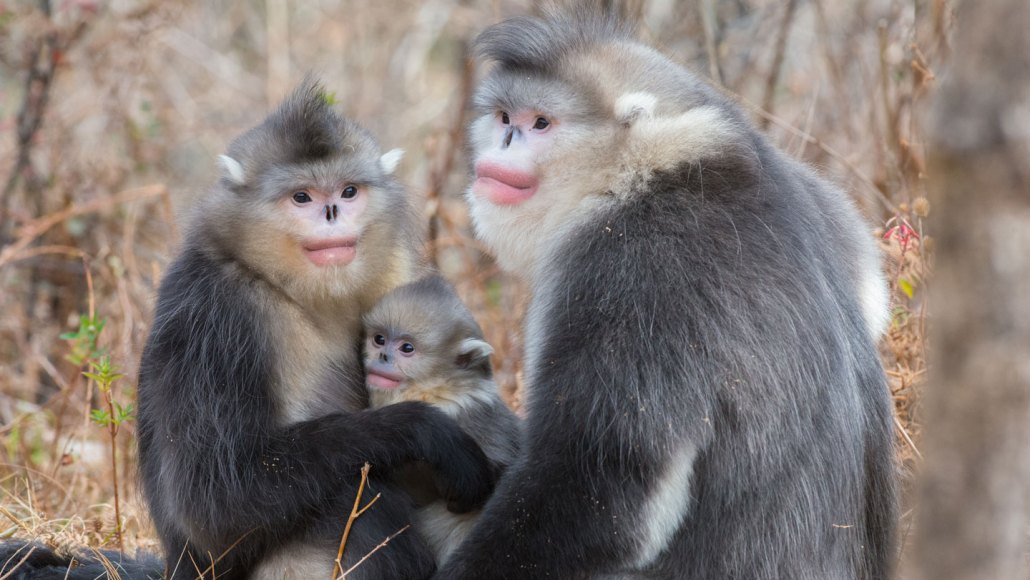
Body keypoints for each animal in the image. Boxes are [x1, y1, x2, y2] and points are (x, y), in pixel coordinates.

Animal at [0, 79, 496, 580]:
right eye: (302, 197)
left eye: (349, 190)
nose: (332, 212)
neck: (294, 287)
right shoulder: (218, 314)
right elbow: (214, 505)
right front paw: (427, 430)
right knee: (352, 499)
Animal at [433, 8, 897, 580]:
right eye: (503, 118)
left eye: (540, 123)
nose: (504, 145)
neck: (649, 169)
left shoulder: (632, 265)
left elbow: (601, 493)